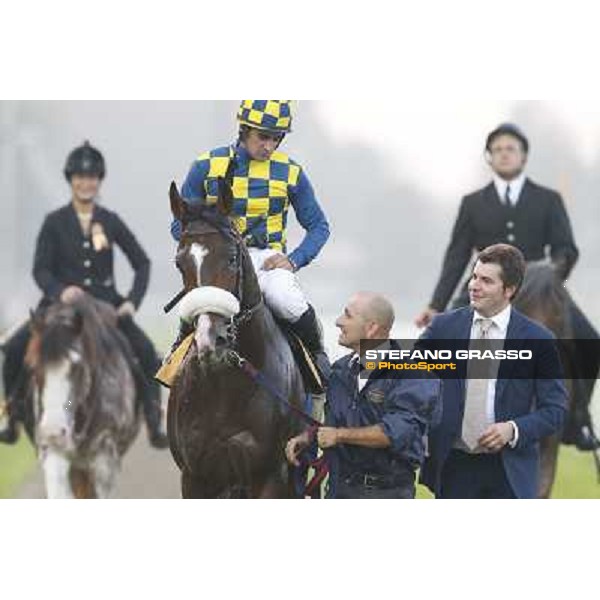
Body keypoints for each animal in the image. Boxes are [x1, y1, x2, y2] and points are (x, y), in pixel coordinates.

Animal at [166, 180, 304, 500]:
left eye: (231, 257)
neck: (225, 387)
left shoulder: (270, 476)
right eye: (180, 263)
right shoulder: (195, 477)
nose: (211, 339)